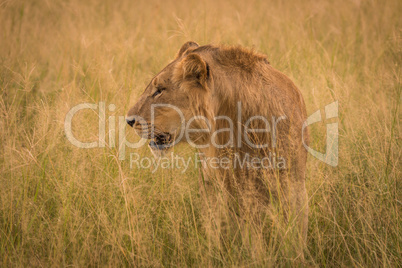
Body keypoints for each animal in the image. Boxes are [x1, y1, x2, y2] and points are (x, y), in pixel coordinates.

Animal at [127, 40, 310, 252]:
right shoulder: (231, 191)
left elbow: (294, 235)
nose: (128, 120)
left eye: (159, 90)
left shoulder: (292, 186)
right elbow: (246, 238)